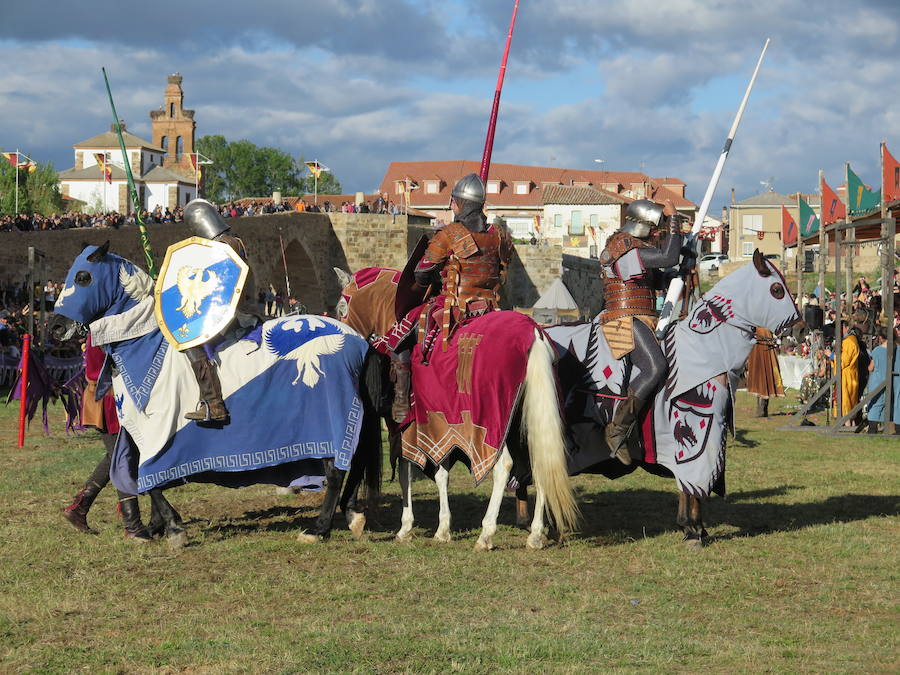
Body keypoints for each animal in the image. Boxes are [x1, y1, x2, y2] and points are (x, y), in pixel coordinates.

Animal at [51, 243, 384, 548]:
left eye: (83, 277)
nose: (56, 326)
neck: (145, 345)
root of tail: (359, 340)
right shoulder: (136, 432)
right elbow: (136, 474)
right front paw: (156, 525)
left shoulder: (156, 434)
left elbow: (149, 478)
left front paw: (173, 528)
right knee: (354, 463)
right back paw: (352, 514)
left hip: (332, 419)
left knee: (337, 471)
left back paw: (319, 528)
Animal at [336, 266, 576, 552]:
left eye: (341, 307)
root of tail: (534, 335)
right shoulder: (438, 429)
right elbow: (441, 473)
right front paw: (442, 529)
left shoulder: (407, 430)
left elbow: (408, 472)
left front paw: (406, 528)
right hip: (529, 420)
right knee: (541, 464)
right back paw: (536, 535)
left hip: (490, 430)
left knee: (502, 466)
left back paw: (486, 534)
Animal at [536, 251, 800, 548]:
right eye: (777, 290)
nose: (801, 328)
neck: (703, 349)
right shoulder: (695, 434)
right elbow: (692, 484)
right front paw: (693, 530)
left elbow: (688, 486)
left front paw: (692, 526)